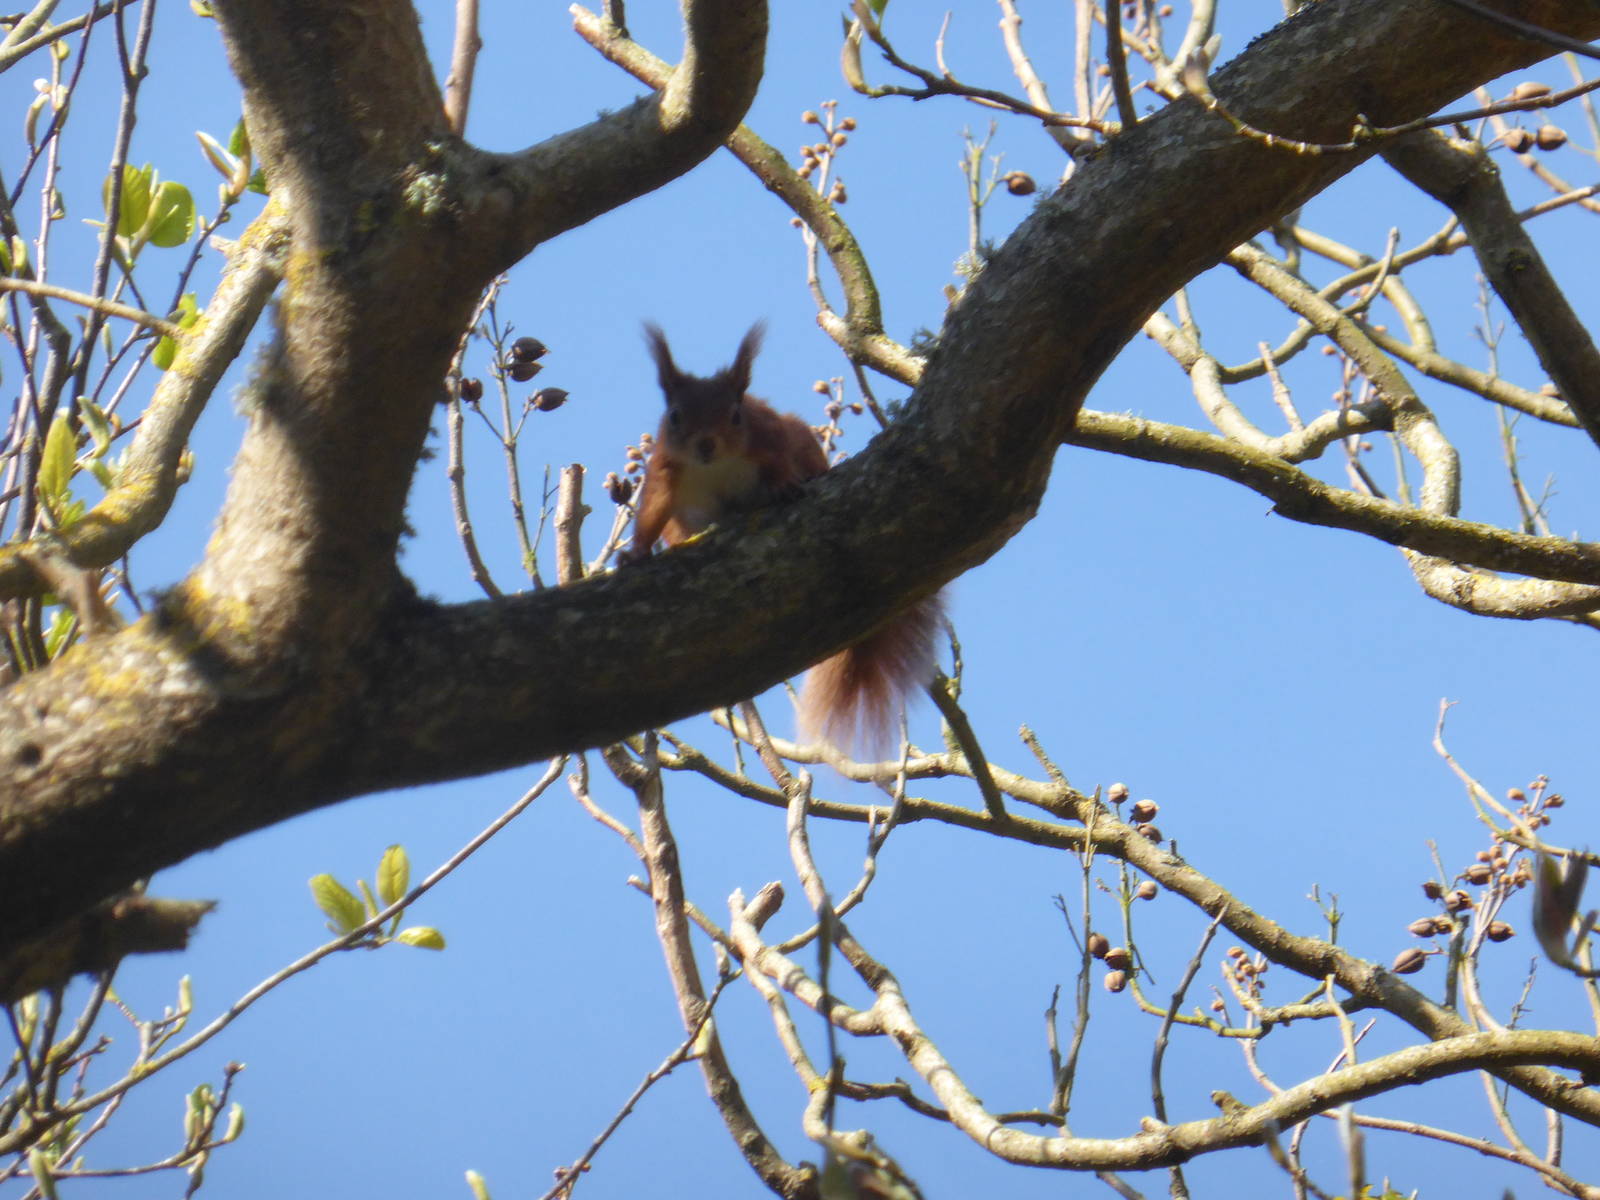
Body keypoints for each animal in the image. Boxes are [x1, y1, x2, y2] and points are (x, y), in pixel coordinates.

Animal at [623, 323, 943, 750]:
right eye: (674, 417)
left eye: (736, 415)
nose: (705, 444)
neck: (715, 466)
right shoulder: (665, 470)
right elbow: (653, 511)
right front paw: (636, 553)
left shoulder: (769, 436)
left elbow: (778, 461)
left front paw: (784, 487)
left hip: (803, 440)